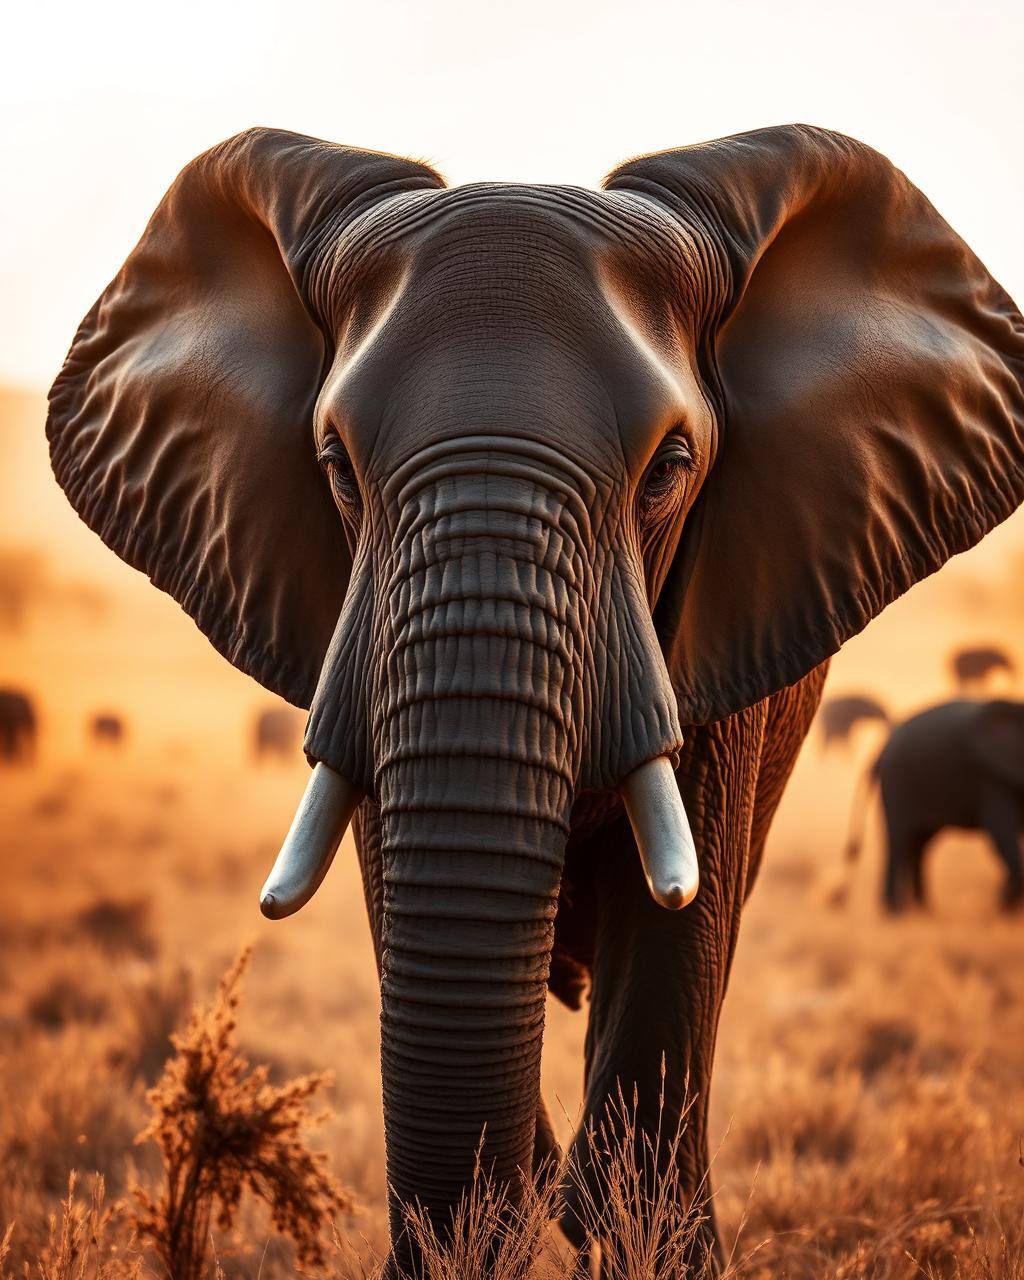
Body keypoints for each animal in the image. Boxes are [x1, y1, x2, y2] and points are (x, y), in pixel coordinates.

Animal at [842, 699, 1024, 913]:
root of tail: (881, 750)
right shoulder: (990, 777)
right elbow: (1000, 831)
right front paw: (1004, 904)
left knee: (920, 845)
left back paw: (924, 910)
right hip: (896, 780)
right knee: (899, 840)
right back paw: (896, 913)